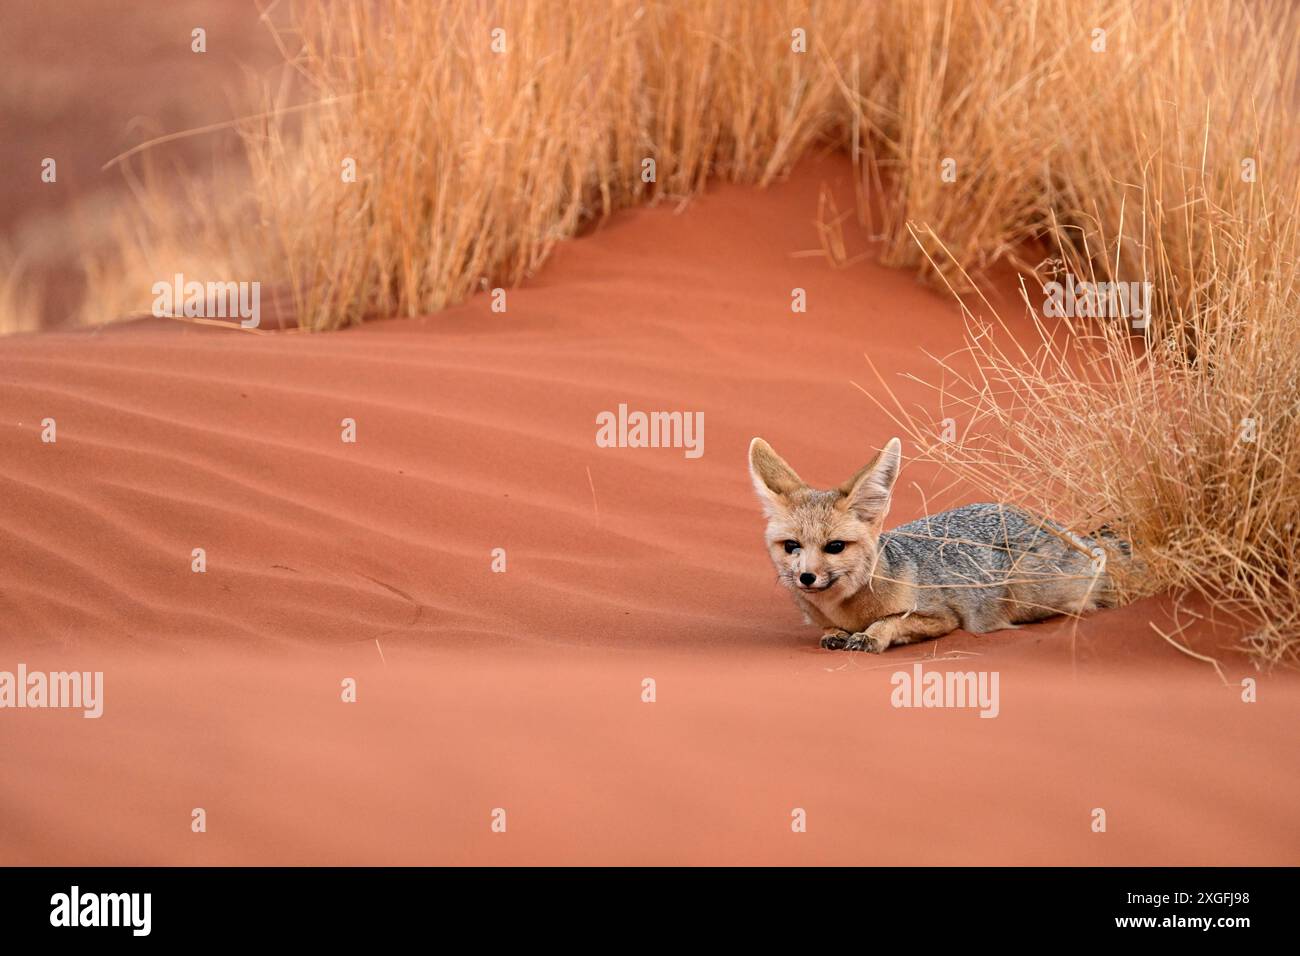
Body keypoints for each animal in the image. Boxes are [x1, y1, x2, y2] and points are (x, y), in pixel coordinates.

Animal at [748, 437, 1123, 655]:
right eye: (792, 546)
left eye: (835, 546)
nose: (806, 577)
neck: (847, 609)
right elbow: (827, 630)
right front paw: (835, 633)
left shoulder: (943, 617)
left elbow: (893, 620)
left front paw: (872, 635)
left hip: (1032, 597)